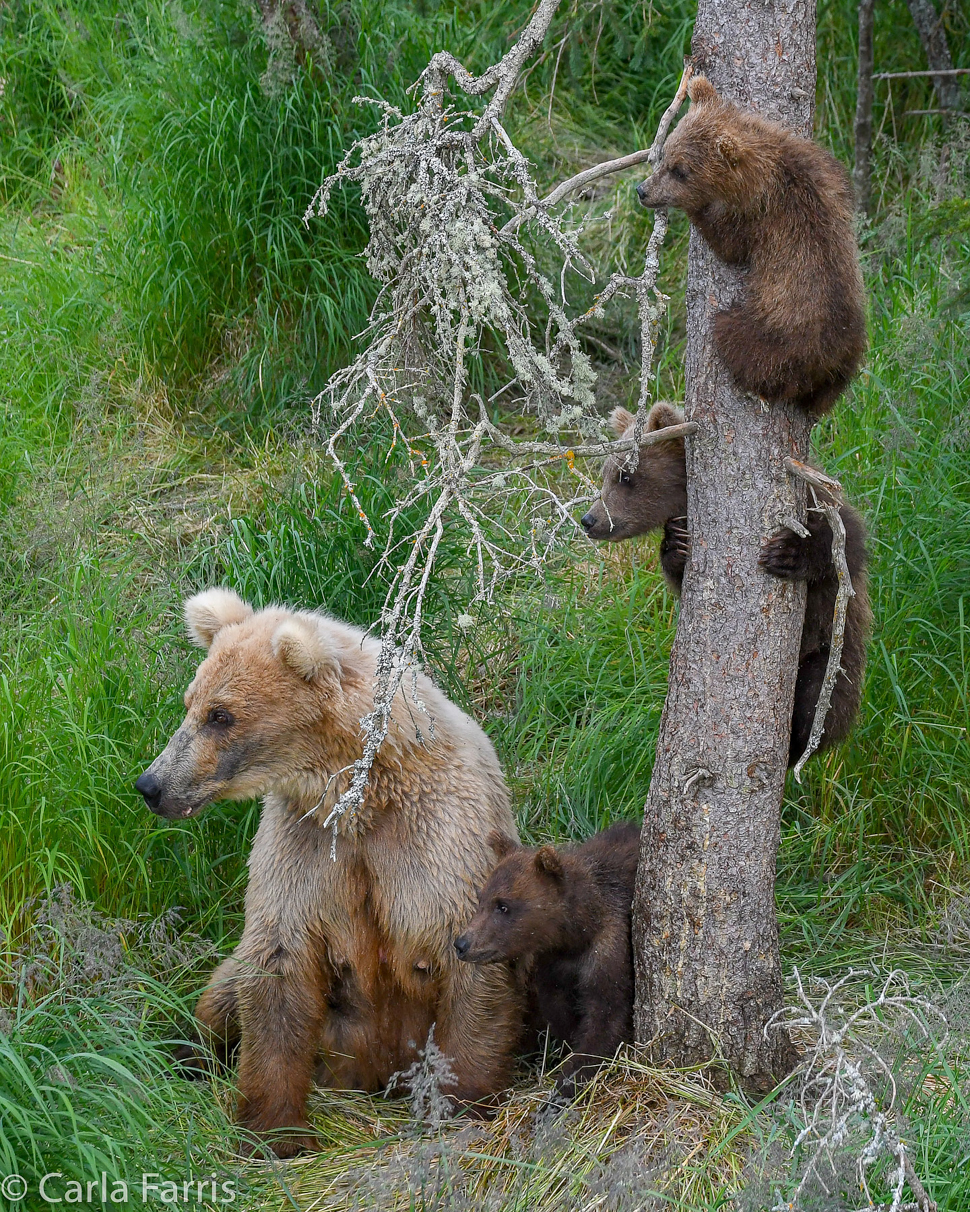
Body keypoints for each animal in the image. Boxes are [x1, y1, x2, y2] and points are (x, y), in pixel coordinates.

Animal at [136, 591, 523, 1158]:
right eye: (190, 703)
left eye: (220, 714)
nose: (152, 784)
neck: (361, 796)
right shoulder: (308, 844)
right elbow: (277, 960)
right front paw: (276, 1131)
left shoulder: (439, 838)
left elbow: (472, 952)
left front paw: (463, 1103)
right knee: (225, 989)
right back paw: (181, 1051)